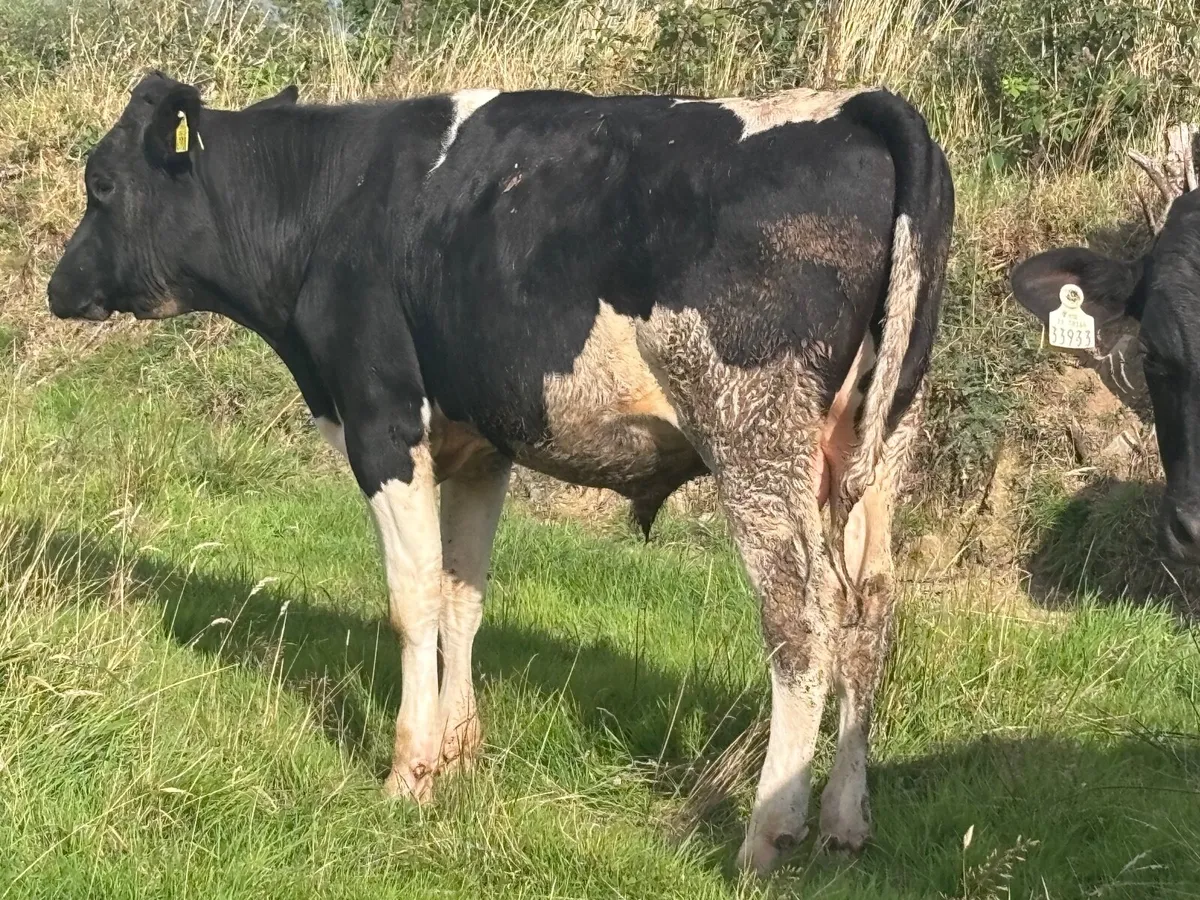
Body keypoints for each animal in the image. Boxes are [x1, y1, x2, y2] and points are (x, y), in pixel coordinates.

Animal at [47, 72, 953, 873]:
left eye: (100, 183)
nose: (57, 288)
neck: (333, 202)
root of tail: (857, 104)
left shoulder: (382, 425)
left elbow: (413, 599)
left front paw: (409, 774)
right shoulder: (482, 450)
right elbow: (463, 597)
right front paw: (460, 754)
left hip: (754, 434)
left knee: (802, 620)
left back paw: (770, 832)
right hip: (882, 441)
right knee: (871, 611)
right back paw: (845, 821)